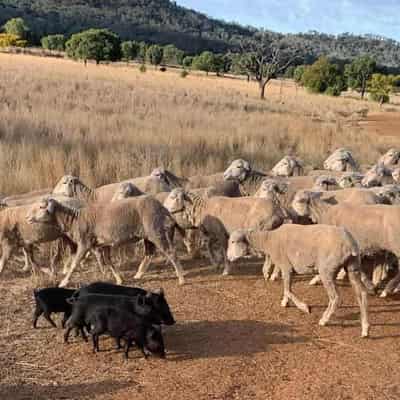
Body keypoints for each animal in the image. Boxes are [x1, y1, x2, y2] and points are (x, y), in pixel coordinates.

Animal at [26, 195, 186, 286]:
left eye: (41, 207)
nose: (27, 218)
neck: (73, 220)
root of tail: (163, 208)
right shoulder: (103, 245)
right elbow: (108, 262)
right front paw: (119, 280)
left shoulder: (85, 243)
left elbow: (74, 264)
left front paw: (64, 282)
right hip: (147, 235)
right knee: (149, 254)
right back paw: (138, 274)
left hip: (156, 231)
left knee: (170, 252)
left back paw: (181, 279)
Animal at [227, 227, 370, 336]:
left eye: (233, 241)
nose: (228, 257)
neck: (268, 240)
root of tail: (350, 244)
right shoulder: (286, 268)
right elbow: (287, 289)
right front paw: (285, 302)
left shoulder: (286, 266)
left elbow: (287, 290)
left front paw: (305, 307)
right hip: (353, 267)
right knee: (361, 294)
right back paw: (365, 329)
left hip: (327, 270)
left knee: (335, 298)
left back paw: (324, 320)